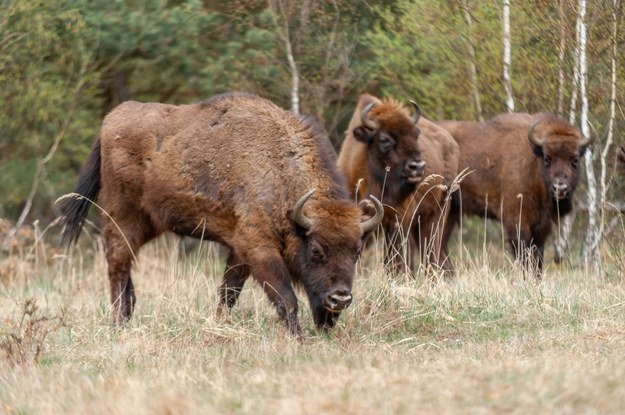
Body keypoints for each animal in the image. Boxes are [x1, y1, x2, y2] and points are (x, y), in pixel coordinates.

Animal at [58, 92, 382, 336]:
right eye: (315, 249)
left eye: (357, 251)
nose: (339, 298)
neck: (279, 170)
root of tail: (110, 121)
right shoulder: (258, 248)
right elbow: (285, 298)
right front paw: (299, 339)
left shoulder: (239, 249)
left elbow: (229, 292)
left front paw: (219, 324)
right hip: (122, 218)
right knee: (117, 266)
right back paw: (119, 323)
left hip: (149, 223)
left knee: (124, 270)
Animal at [338, 95, 460, 276]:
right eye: (384, 139)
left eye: (415, 134)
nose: (417, 166)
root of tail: (452, 143)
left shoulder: (399, 221)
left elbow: (396, 259)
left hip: (438, 213)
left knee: (431, 250)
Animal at [436, 113, 592, 276]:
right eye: (547, 158)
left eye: (575, 160)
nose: (560, 188)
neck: (533, 163)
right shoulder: (517, 221)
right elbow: (523, 254)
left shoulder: (542, 226)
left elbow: (537, 257)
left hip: (450, 213)